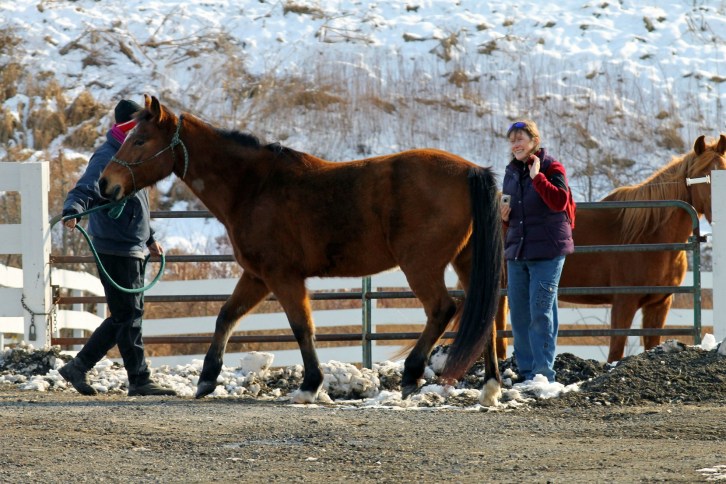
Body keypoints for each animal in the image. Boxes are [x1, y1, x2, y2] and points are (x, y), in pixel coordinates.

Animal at [98, 95, 504, 405]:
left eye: (140, 140)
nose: (105, 184)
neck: (254, 186)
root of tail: (471, 170)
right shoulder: (257, 277)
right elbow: (226, 316)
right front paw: (207, 379)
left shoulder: (283, 277)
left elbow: (301, 327)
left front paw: (310, 385)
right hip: (467, 261)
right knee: (485, 314)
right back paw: (490, 387)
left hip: (421, 265)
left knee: (443, 309)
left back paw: (412, 374)